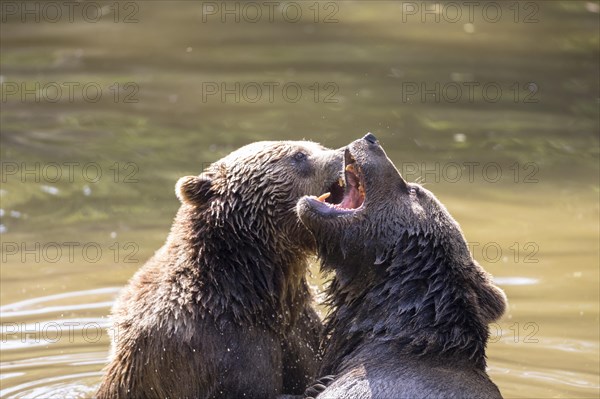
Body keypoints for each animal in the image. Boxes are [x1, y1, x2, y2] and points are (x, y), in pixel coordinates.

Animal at [96, 141, 344, 399]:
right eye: (299, 155)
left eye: (316, 145)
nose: (343, 154)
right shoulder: (209, 346)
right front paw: (315, 386)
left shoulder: (298, 326)